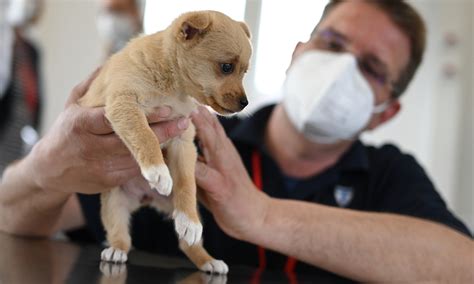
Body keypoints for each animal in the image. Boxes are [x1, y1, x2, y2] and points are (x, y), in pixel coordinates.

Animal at [78, 10, 252, 274]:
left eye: (244, 72)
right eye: (226, 67)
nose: (245, 103)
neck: (172, 86)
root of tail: (144, 198)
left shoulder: (183, 140)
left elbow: (186, 183)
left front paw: (188, 217)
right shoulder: (125, 104)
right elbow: (145, 135)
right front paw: (158, 170)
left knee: (187, 243)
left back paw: (207, 258)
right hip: (114, 202)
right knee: (120, 235)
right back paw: (116, 250)